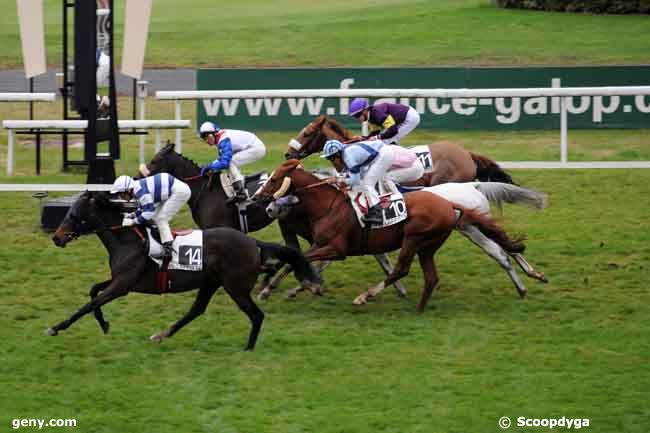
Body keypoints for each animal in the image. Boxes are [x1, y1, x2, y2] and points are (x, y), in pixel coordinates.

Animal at [49, 191, 318, 350]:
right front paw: (104, 324)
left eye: (73, 214)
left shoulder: (122, 285)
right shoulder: (120, 282)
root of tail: (253, 242)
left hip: (235, 287)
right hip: (211, 282)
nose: (56, 238)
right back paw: (162, 335)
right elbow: (93, 291)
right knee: (196, 310)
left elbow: (88, 305)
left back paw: (248, 348)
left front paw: (56, 327)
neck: (127, 240)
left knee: (256, 315)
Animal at [253, 159, 528, 310]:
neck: (327, 205)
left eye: (274, 180)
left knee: (401, 269)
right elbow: (296, 260)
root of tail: (450, 204)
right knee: (435, 274)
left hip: (415, 238)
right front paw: (274, 289)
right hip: (430, 244)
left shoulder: (336, 249)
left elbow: (301, 261)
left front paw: (293, 286)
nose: (259, 201)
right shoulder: (322, 245)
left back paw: (365, 297)